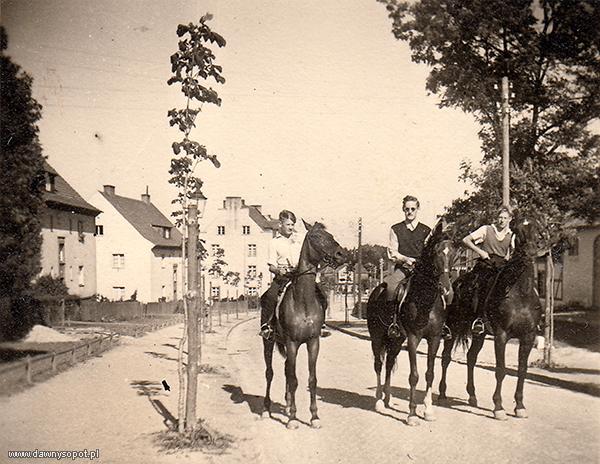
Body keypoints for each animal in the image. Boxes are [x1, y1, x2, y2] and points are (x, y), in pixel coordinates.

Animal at [260, 221, 344, 428]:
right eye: (316, 236)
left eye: (330, 235)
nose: (341, 254)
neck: (303, 300)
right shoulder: (292, 343)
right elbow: (293, 379)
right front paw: (292, 418)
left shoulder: (313, 342)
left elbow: (311, 379)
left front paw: (314, 416)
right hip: (268, 342)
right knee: (270, 372)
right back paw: (266, 408)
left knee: (285, 370)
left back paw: (288, 404)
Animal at [366, 223, 454, 426]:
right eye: (436, 252)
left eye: (453, 252)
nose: (447, 291)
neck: (425, 301)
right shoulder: (414, 338)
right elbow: (414, 376)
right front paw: (412, 414)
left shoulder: (434, 339)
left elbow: (430, 373)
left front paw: (428, 410)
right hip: (377, 337)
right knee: (379, 365)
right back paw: (379, 401)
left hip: (396, 340)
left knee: (389, 363)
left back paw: (388, 398)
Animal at [438, 217, 548, 420]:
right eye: (518, 230)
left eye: (536, 229)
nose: (530, 252)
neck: (521, 293)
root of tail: (455, 283)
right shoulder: (501, 335)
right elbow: (501, 370)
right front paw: (498, 407)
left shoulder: (528, 337)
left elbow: (522, 371)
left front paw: (520, 406)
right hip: (453, 328)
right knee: (445, 358)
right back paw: (442, 394)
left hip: (479, 334)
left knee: (471, 357)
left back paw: (472, 396)